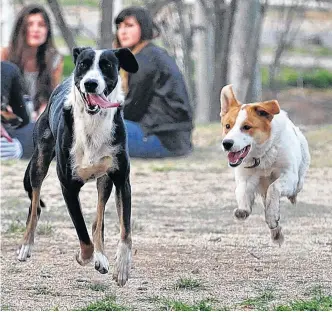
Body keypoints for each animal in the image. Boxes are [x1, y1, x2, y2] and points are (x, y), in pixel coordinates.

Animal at [16, 46, 139, 286]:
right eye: (83, 64)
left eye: (107, 65)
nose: (90, 83)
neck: (93, 123)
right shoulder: (68, 186)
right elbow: (82, 233)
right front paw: (83, 257)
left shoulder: (121, 180)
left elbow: (125, 230)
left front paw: (121, 266)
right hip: (39, 161)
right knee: (35, 205)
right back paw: (26, 246)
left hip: (104, 180)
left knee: (98, 220)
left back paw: (101, 257)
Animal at [220, 84, 312, 244]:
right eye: (227, 126)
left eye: (246, 127)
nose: (227, 143)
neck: (263, 156)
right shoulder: (246, 178)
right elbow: (242, 192)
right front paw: (243, 210)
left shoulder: (289, 176)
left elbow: (273, 188)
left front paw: (272, 216)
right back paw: (276, 233)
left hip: (299, 178)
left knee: (293, 189)